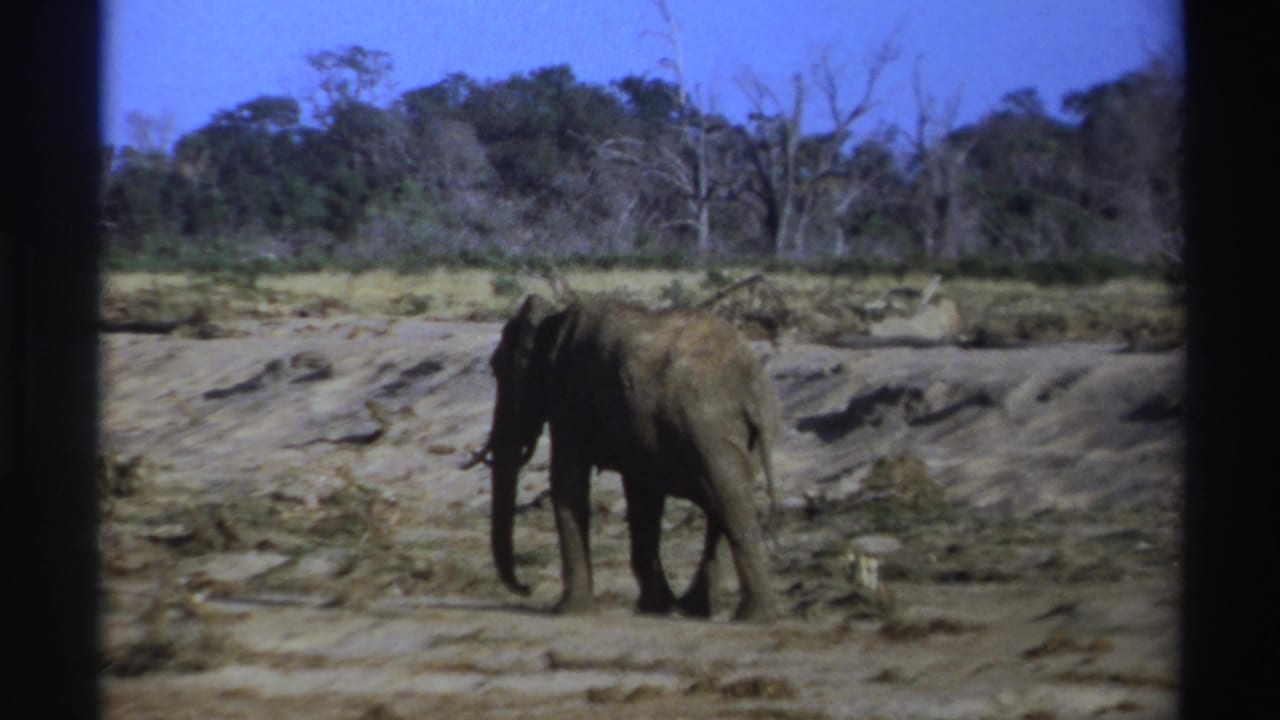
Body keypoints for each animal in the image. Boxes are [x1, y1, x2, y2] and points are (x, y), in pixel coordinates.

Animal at [475, 294, 783, 622]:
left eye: (497, 368)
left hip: (708, 428)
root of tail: (751, 386)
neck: (554, 320)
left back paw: (751, 616)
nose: (527, 588)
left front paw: (570, 612)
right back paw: (698, 609)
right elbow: (641, 497)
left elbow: (569, 483)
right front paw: (654, 607)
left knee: (728, 503)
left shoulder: (571, 398)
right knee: (724, 504)